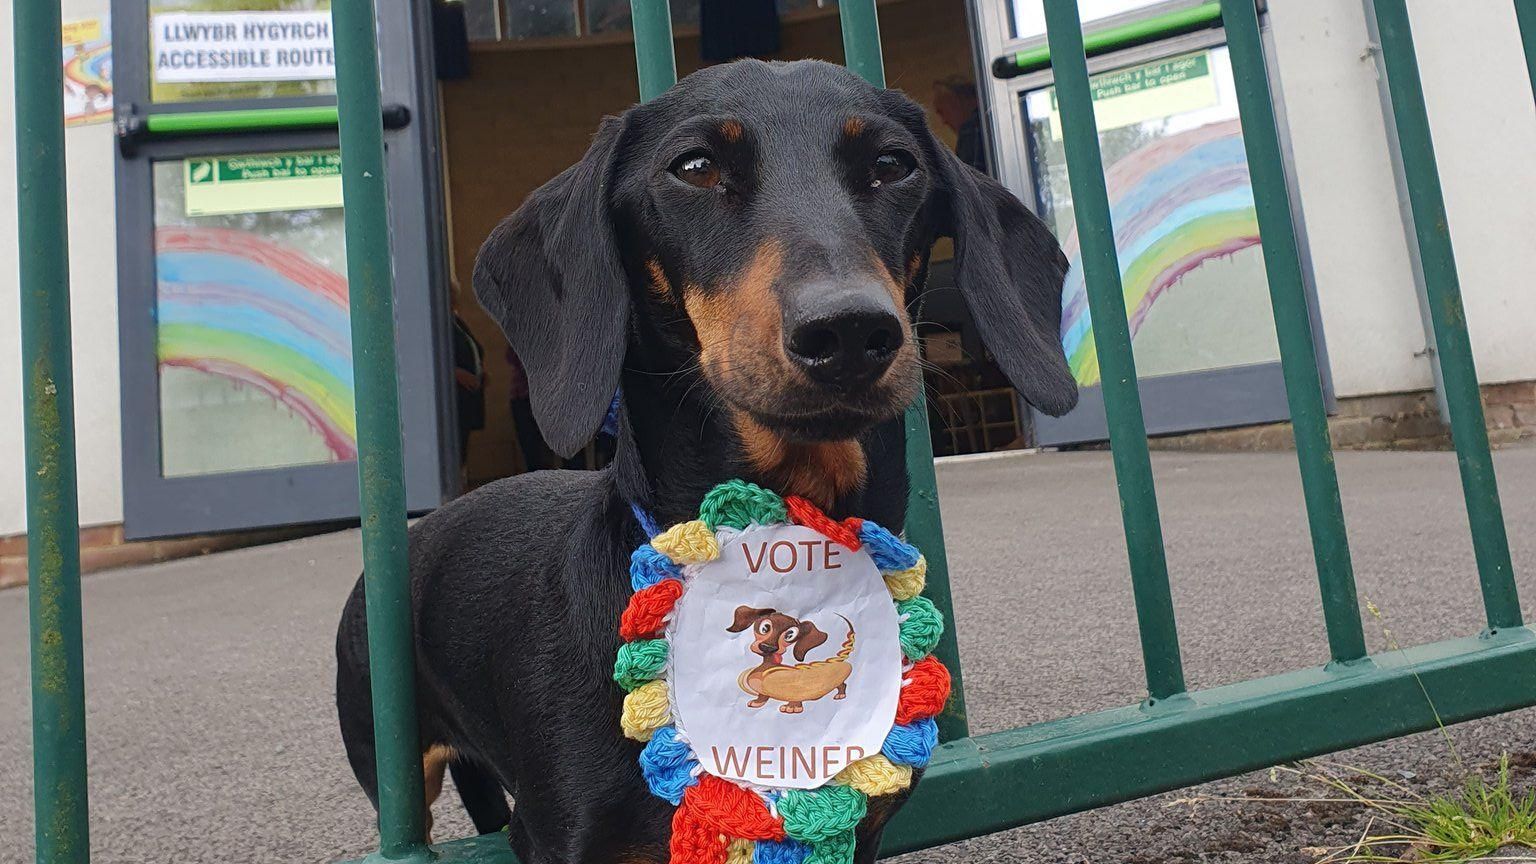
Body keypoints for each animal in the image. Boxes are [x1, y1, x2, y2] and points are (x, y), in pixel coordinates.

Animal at [728, 602, 860, 710]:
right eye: (765, 627)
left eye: (789, 635)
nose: (768, 647)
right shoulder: (763, 692)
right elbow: (762, 696)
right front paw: (757, 702)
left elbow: (795, 698)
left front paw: (791, 708)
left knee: (842, 684)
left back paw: (840, 694)